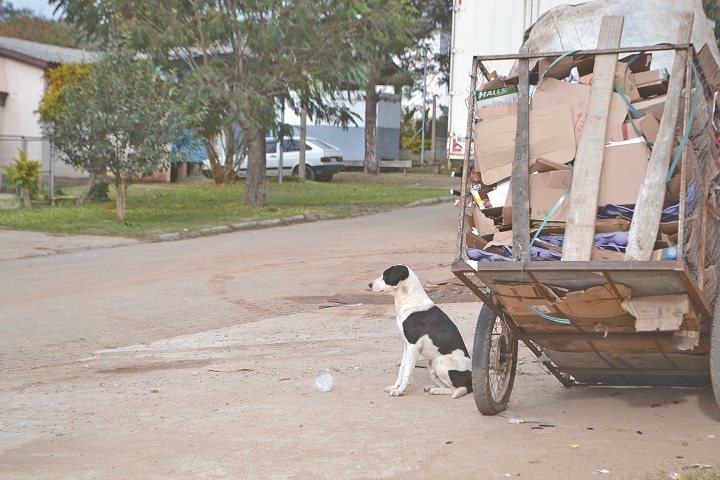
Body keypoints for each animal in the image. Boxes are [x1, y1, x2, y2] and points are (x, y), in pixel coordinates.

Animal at [372, 264, 472, 400]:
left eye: (386, 276)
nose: (369, 284)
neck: (410, 301)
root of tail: (471, 382)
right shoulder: (406, 346)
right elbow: (402, 369)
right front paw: (395, 387)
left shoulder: (414, 347)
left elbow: (407, 373)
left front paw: (400, 391)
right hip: (431, 366)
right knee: (448, 386)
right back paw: (433, 388)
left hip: (441, 363)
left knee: (457, 389)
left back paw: (439, 390)